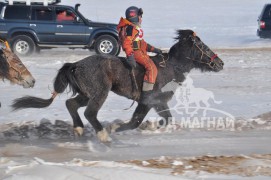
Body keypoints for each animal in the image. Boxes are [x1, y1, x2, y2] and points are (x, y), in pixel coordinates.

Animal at [11, 29, 225, 142]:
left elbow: (166, 119)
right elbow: (135, 121)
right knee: (90, 113)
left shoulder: (159, 102)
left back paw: (79, 129)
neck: (169, 68)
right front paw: (115, 128)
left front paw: (153, 127)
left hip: (87, 94)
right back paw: (103, 134)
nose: (220, 63)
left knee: (71, 104)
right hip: (100, 93)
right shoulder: (147, 101)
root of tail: (76, 65)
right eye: (203, 47)